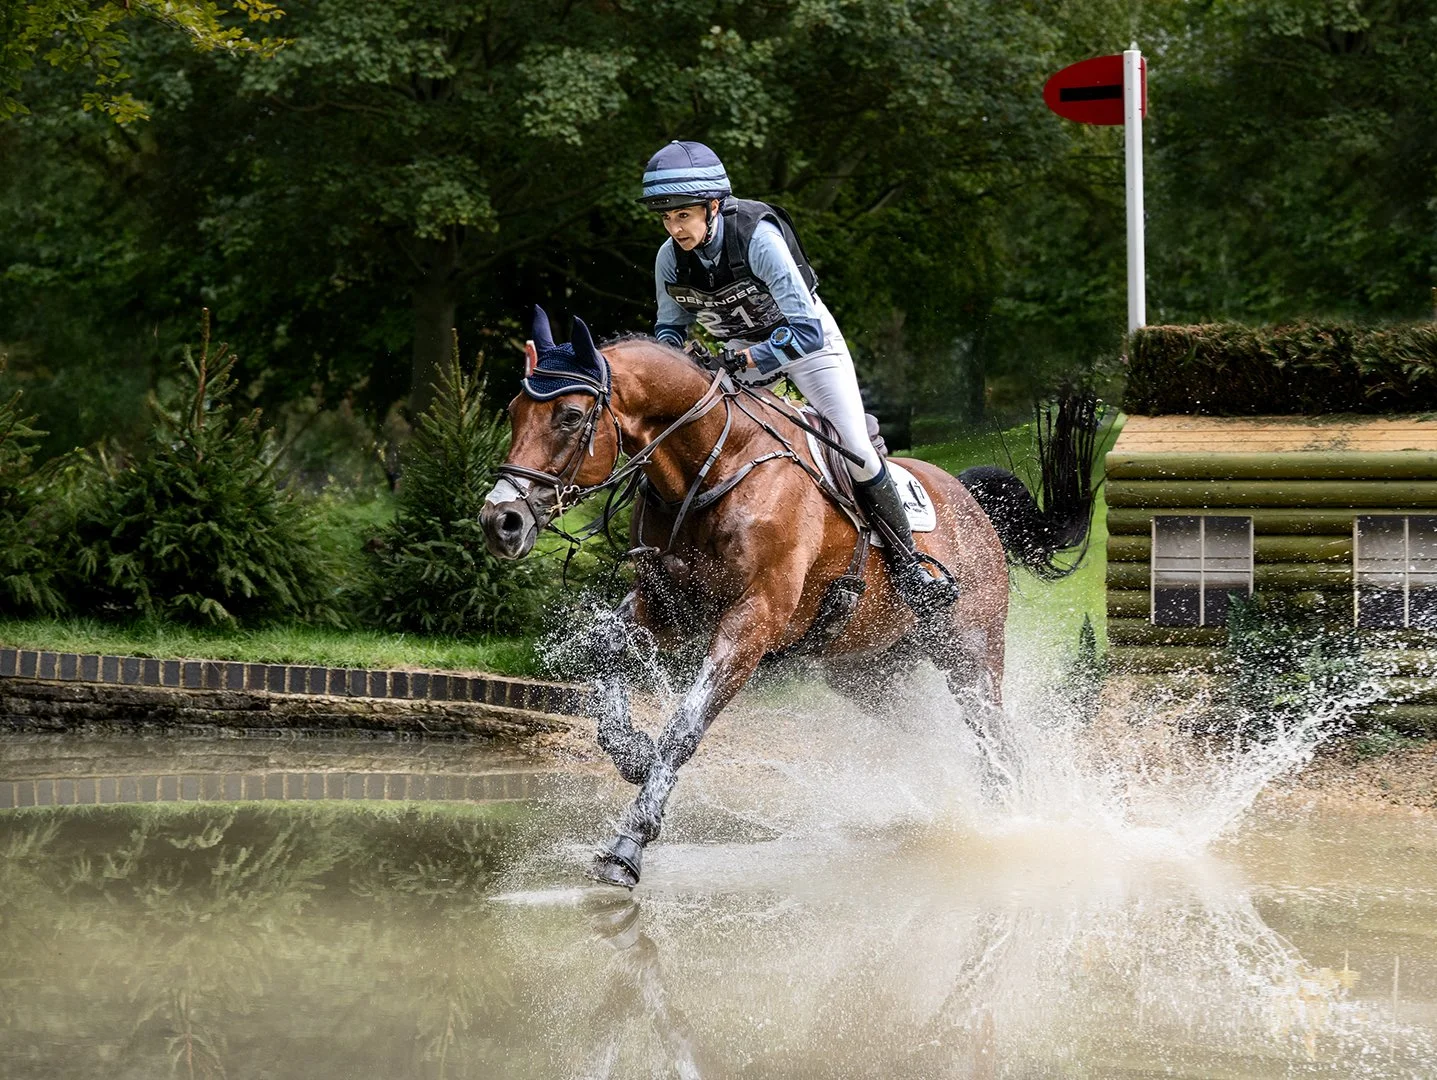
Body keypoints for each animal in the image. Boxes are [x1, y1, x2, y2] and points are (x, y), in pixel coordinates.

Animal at [480, 311, 1102, 888]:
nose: (500, 522)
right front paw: (632, 751)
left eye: (569, 416)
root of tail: (970, 501)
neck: (715, 464)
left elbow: (685, 729)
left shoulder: (752, 621)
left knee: (995, 733)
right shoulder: (668, 604)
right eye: (512, 412)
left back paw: (1018, 827)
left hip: (968, 651)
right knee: (943, 735)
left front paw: (627, 846)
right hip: (871, 675)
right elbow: (608, 646)